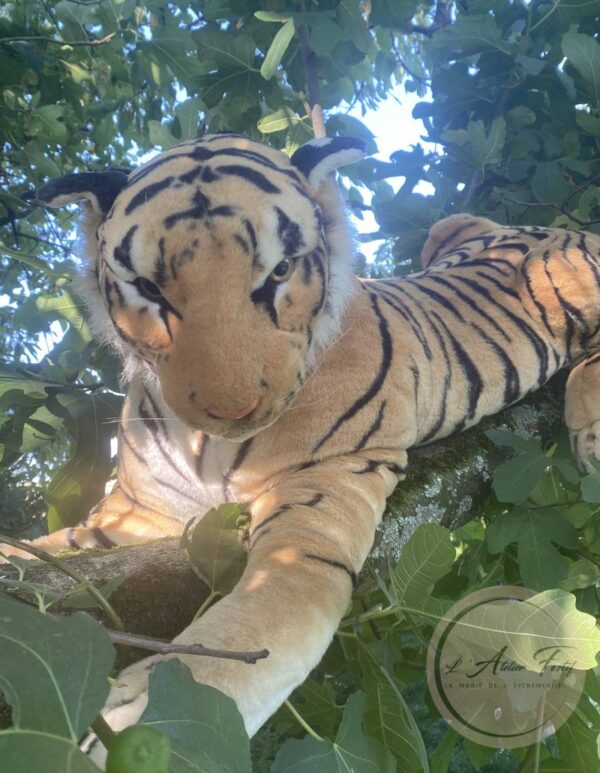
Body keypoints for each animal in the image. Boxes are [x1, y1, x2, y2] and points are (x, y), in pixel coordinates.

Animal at [3, 132, 600, 760]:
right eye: (147, 289)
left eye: (280, 271)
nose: (231, 409)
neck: (205, 445)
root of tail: (538, 229)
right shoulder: (136, 515)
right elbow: (45, 550)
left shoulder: (321, 497)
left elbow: (259, 623)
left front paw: (138, 719)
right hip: (449, 229)